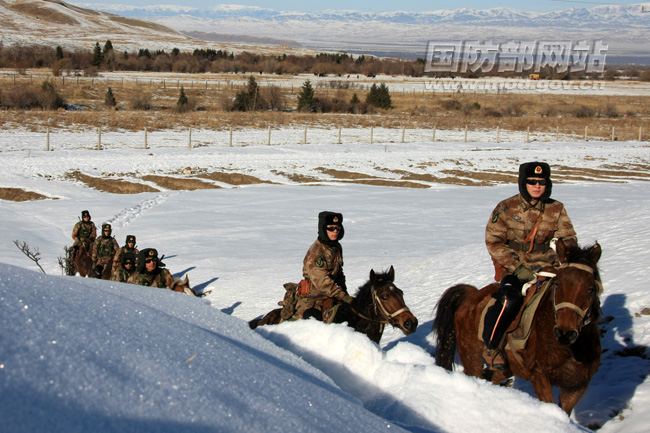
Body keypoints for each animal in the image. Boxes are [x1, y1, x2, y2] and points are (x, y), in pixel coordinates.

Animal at [432, 241, 600, 414]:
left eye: (590, 288)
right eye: (557, 284)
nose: (565, 333)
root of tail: (471, 295)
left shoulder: (577, 386)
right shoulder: (539, 375)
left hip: (503, 369)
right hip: (472, 357)